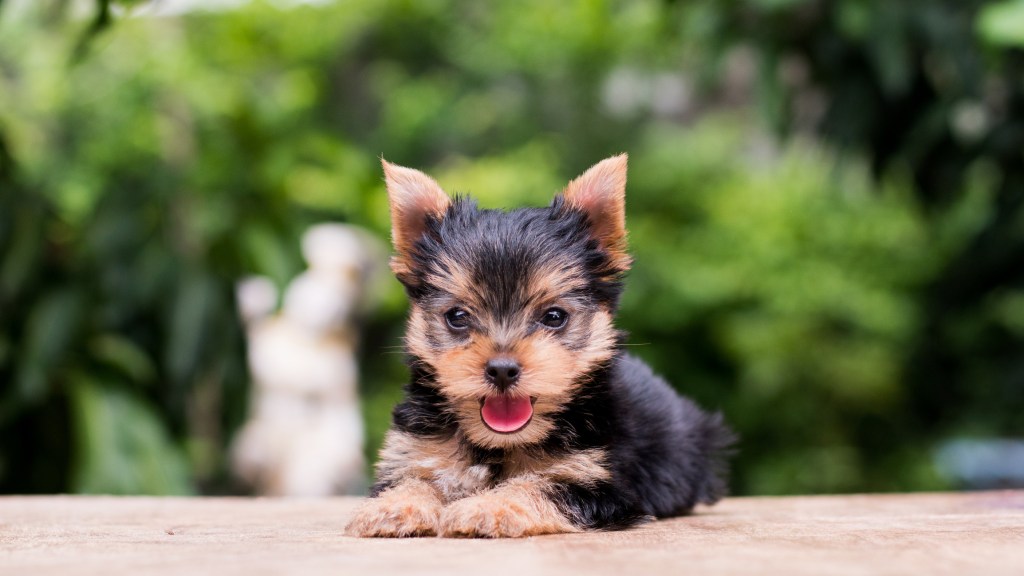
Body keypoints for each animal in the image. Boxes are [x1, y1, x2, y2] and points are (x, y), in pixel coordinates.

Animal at [348, 154, 733, 537]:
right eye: (457, 316)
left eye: (554, 316)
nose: (502, 370)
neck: (498, 443)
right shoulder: (412, 451)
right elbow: (411, 478)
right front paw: (393, 506)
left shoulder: (598, 478)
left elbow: (541, 484)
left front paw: (488, 507)